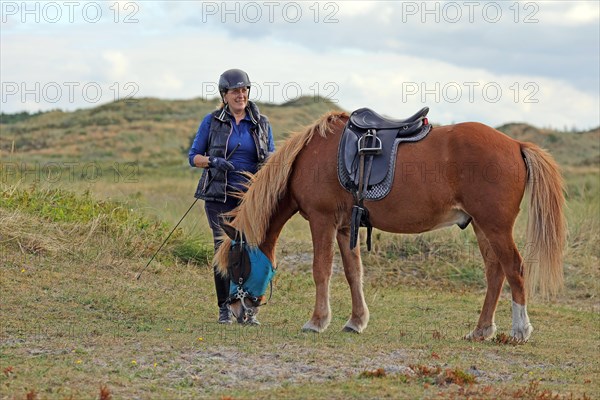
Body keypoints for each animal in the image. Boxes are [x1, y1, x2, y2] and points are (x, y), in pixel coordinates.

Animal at [217, 111, 568, 340]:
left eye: (236, 264)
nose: (234, 310)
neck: (310, 156)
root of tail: (515, 144)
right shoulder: (345, 227)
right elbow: (353, 273)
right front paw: (356, 321)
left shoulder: (322, 220)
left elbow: (321, 271)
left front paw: (317, 321)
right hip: (482, 227)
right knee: (496, 273)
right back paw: (481, 330)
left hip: (495, 227)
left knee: (514, 269)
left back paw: (520, 330)